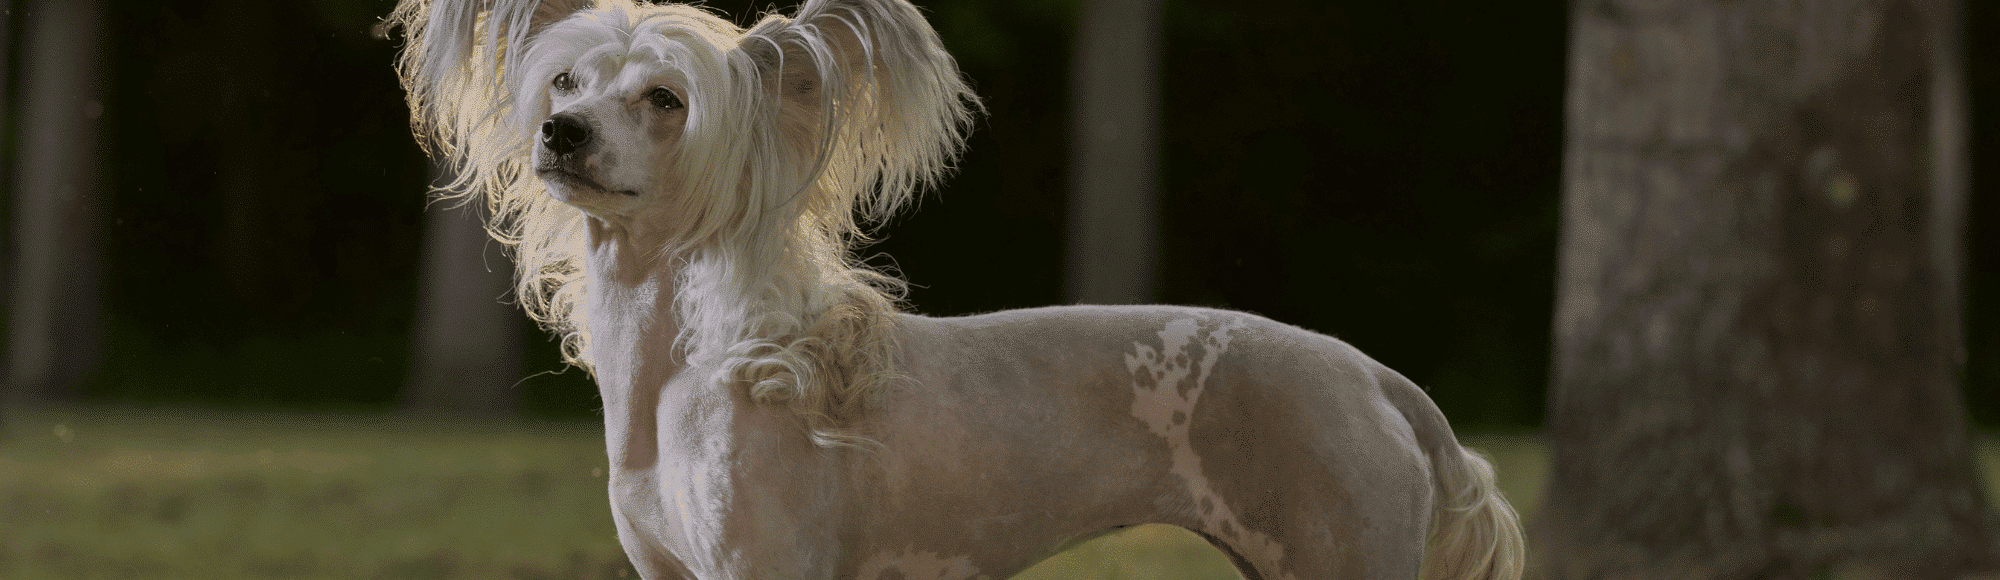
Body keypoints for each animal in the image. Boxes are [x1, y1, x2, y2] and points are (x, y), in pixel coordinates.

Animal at [382, 1, 1520, 576]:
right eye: (566, 82)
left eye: (665, 99)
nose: (560, 133)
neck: (678, 367)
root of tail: (1376, 377)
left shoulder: (769, 569)